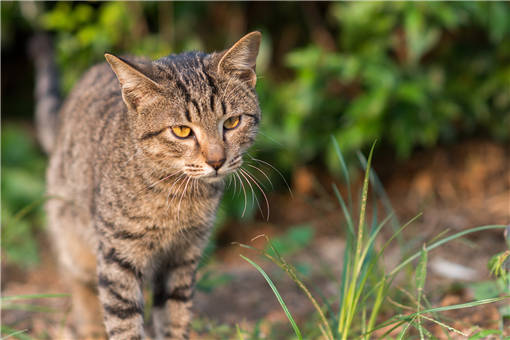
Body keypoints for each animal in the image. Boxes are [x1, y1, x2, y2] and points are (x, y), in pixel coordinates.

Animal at [32, 32, 262, 340]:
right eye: (182, 131)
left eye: (232, 122)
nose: (217, 161)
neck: (178, 195)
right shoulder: (118, 257)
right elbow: (124, 321)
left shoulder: (182, 257)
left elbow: (175, 316)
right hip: (73, 238)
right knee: (82, 288)